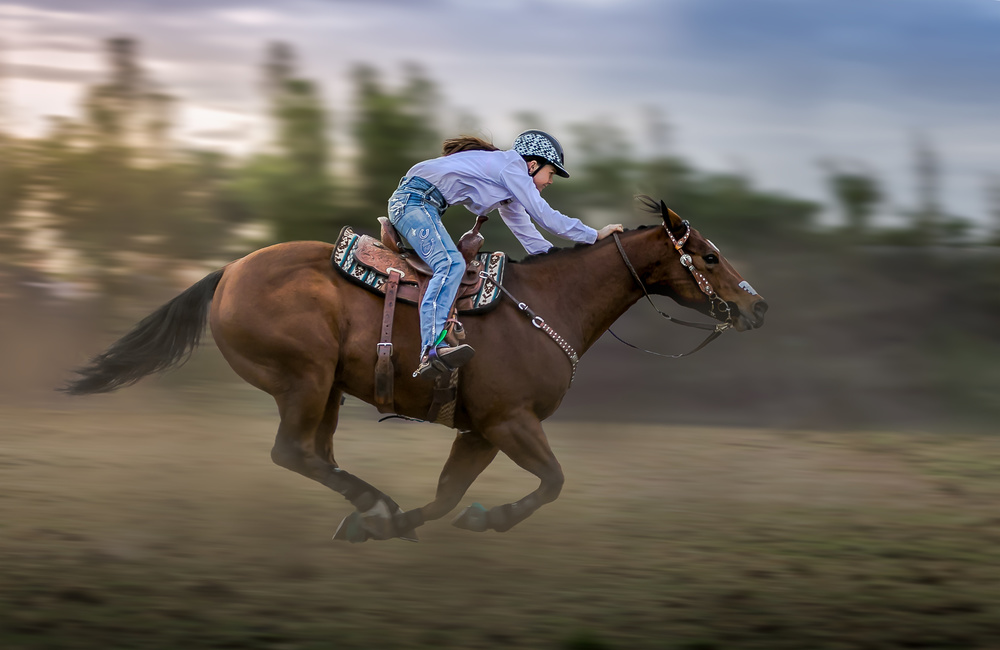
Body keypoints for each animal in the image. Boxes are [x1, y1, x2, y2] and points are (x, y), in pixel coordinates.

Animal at [64, 195, 764, 540]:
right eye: (707, 253)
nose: (755, 306)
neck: (545, 306)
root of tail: (230, 272)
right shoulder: (511, 421)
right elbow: (553, 482)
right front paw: (488, 519)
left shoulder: (480, 431)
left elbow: (448, 494)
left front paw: (390, 528)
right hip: (304, 379)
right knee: (292, 452)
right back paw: (373, 499)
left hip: (328, 392)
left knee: (314, 454)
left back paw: (371, 509)